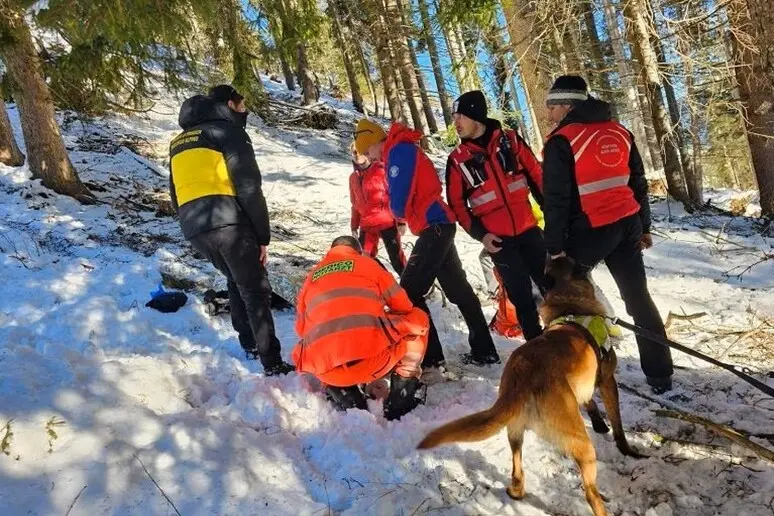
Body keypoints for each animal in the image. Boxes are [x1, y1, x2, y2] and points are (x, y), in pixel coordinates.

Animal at [418, 256, 644, 516]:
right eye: (572, 261)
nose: (589, 263)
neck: (570, 305)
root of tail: (521, 374)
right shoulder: (607, 381)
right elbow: (617, 425)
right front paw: (626, 448)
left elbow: (590, 403)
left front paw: (598, 422)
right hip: (582, 444)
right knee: (590, 493)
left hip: (514, 431)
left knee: (517, 474)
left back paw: (516, 491)